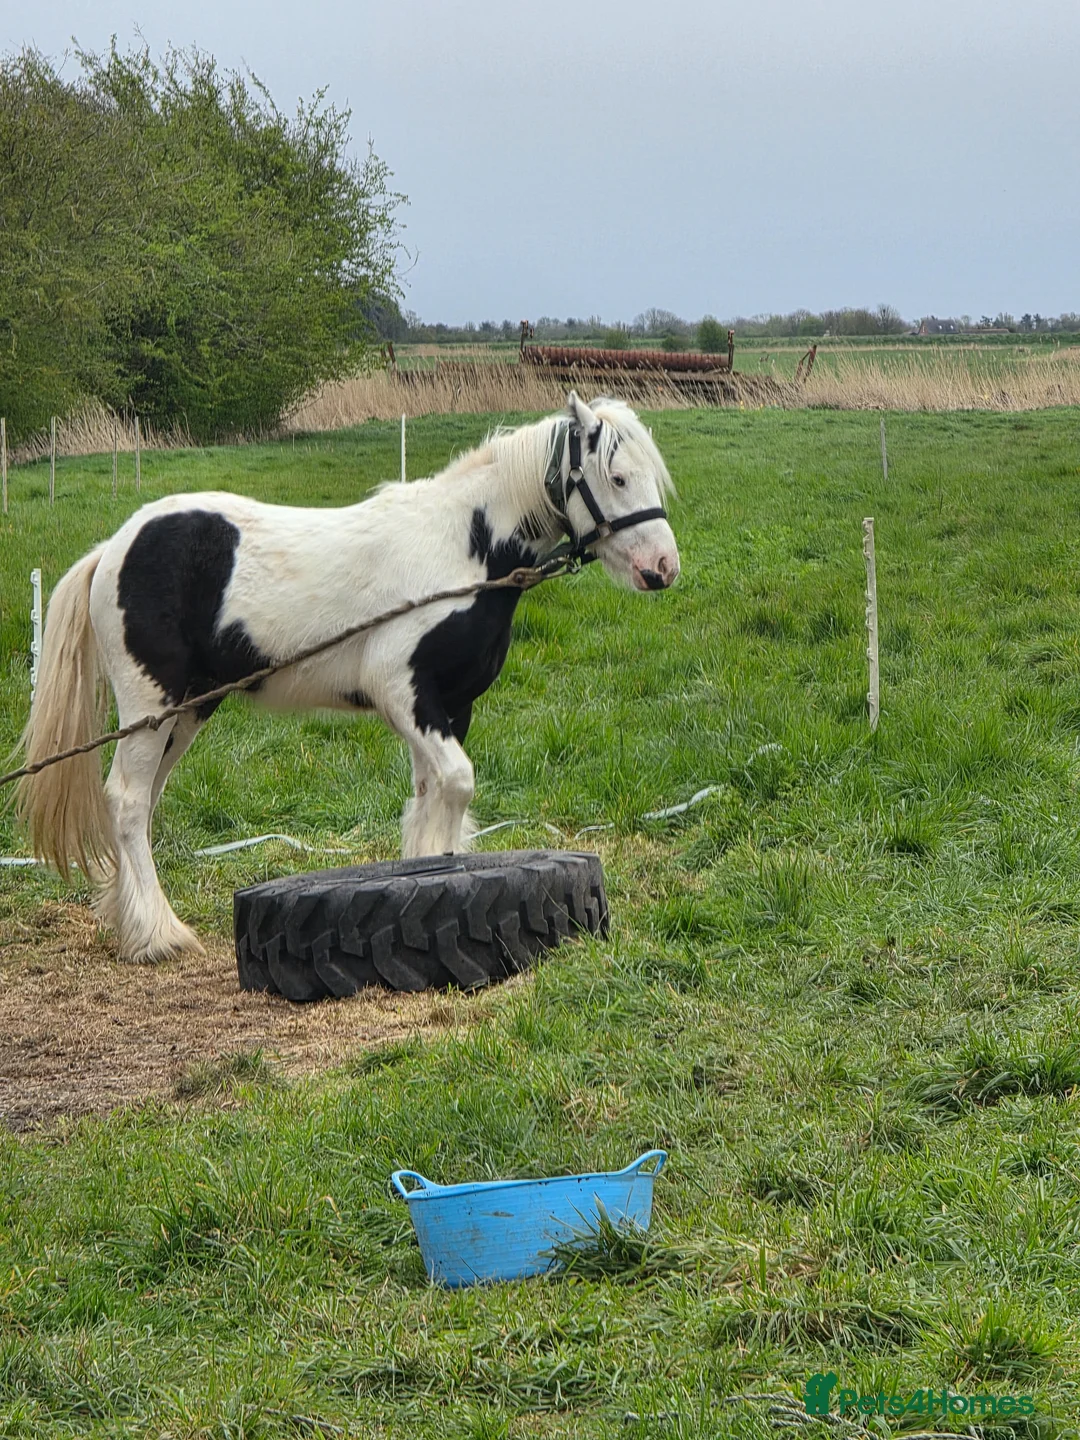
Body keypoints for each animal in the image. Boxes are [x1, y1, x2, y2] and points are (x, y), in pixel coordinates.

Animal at [17, 392, 680, 964]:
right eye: (618, 478)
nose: (663, 568)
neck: (462, 550)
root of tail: (112, 547)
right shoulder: (402, 692)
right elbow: (458, 784)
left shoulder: (448, 707)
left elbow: (431, 802)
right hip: (149, 708)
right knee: (127, 803)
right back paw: (158, 935)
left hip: (187, 712)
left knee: (143, 802)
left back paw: (129, 921)